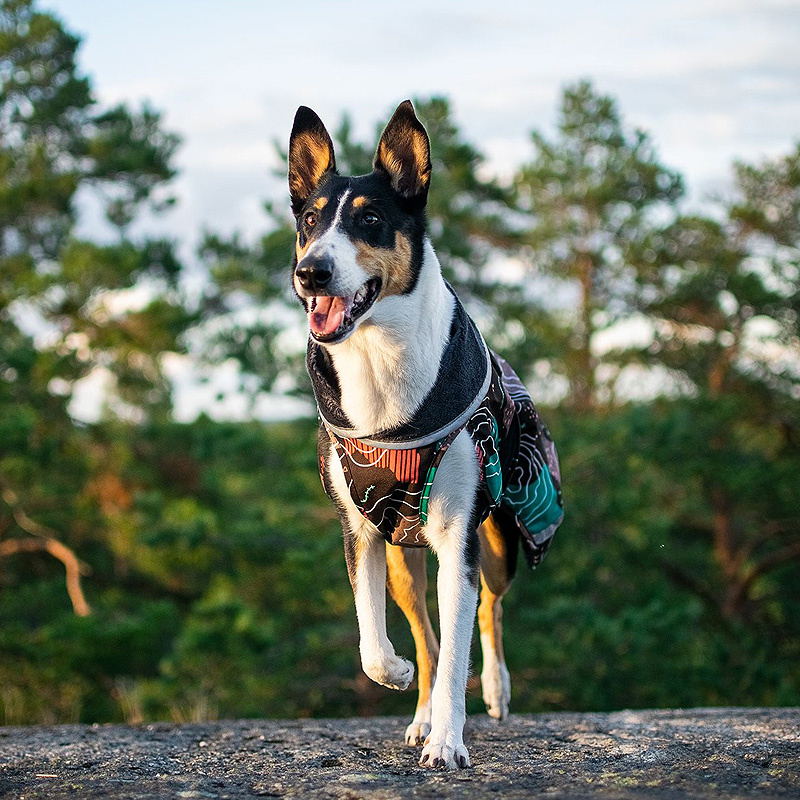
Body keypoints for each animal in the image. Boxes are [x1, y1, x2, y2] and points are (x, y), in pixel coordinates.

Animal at [288, 100, 564, 768]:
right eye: (309, 221)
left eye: (371, 220)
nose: (311, 273)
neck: (379, 365)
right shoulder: (360, 531)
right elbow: (375, 641)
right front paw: (398, 677)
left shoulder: (458, 536)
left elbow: (461, 643)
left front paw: (447, 743)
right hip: (402, 558)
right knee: (426, 636)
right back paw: (418, 708)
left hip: (496, 541)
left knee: (488, 610)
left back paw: (493, 690)